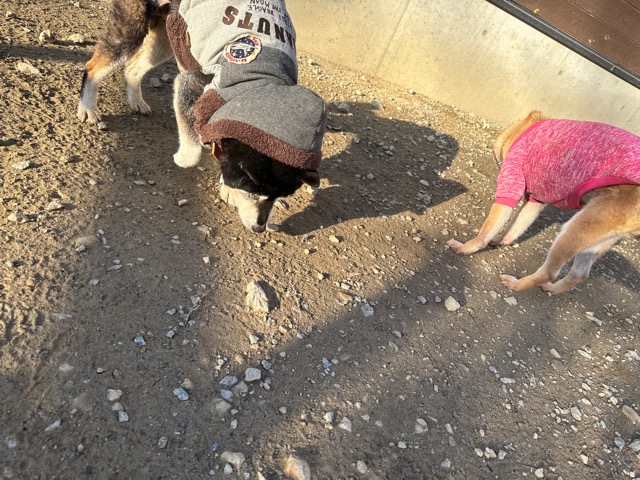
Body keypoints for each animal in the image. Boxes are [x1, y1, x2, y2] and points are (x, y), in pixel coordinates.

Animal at [78, 0, 326, 232]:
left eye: (279, 197)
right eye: (254, 192)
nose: (259, 228)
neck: (260, 80)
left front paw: (227, 187)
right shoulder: (192, 84)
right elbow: (193, 147)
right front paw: (184, 158)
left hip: (165, 39)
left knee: (132, 68)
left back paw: (136, 101)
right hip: (131, 28)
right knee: (94, 66)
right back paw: (88, 106)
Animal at [447, 110, 640, 294]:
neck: (522, 129)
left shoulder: (512, 177)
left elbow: (487, 230)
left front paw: (466, 247)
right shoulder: (535, 201)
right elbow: (515, 226)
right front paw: (501, 239)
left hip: (578, 228)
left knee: (550, 272)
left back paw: (517, 284)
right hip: (599, 237)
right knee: (579, 274)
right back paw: (552, 289)